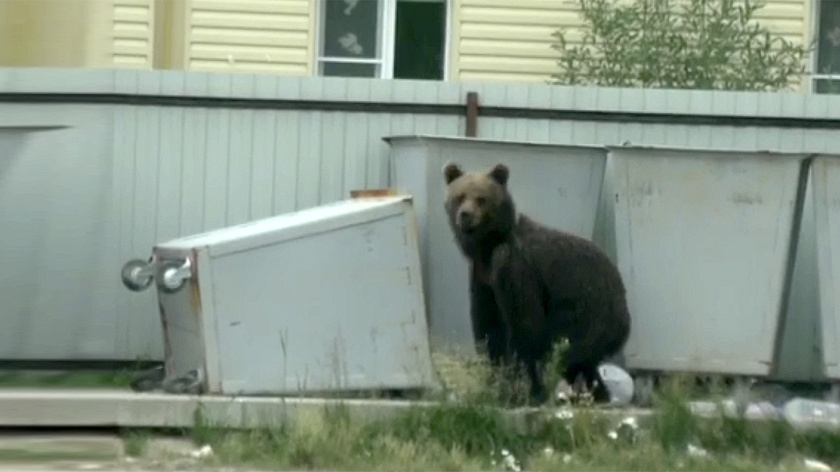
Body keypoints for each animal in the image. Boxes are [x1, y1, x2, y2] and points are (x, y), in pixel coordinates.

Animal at [446, 160, 632, 404]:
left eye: (481, 198)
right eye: (459, 196)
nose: (465, 215)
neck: (488, 247)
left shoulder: (515, 268)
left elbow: (525, 325)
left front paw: (524, 388)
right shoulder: (483, 279)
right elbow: (489, 327)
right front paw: (496, 381)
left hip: (586, 313)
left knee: (567, 352)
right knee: (582, 364)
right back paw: (597, 393)